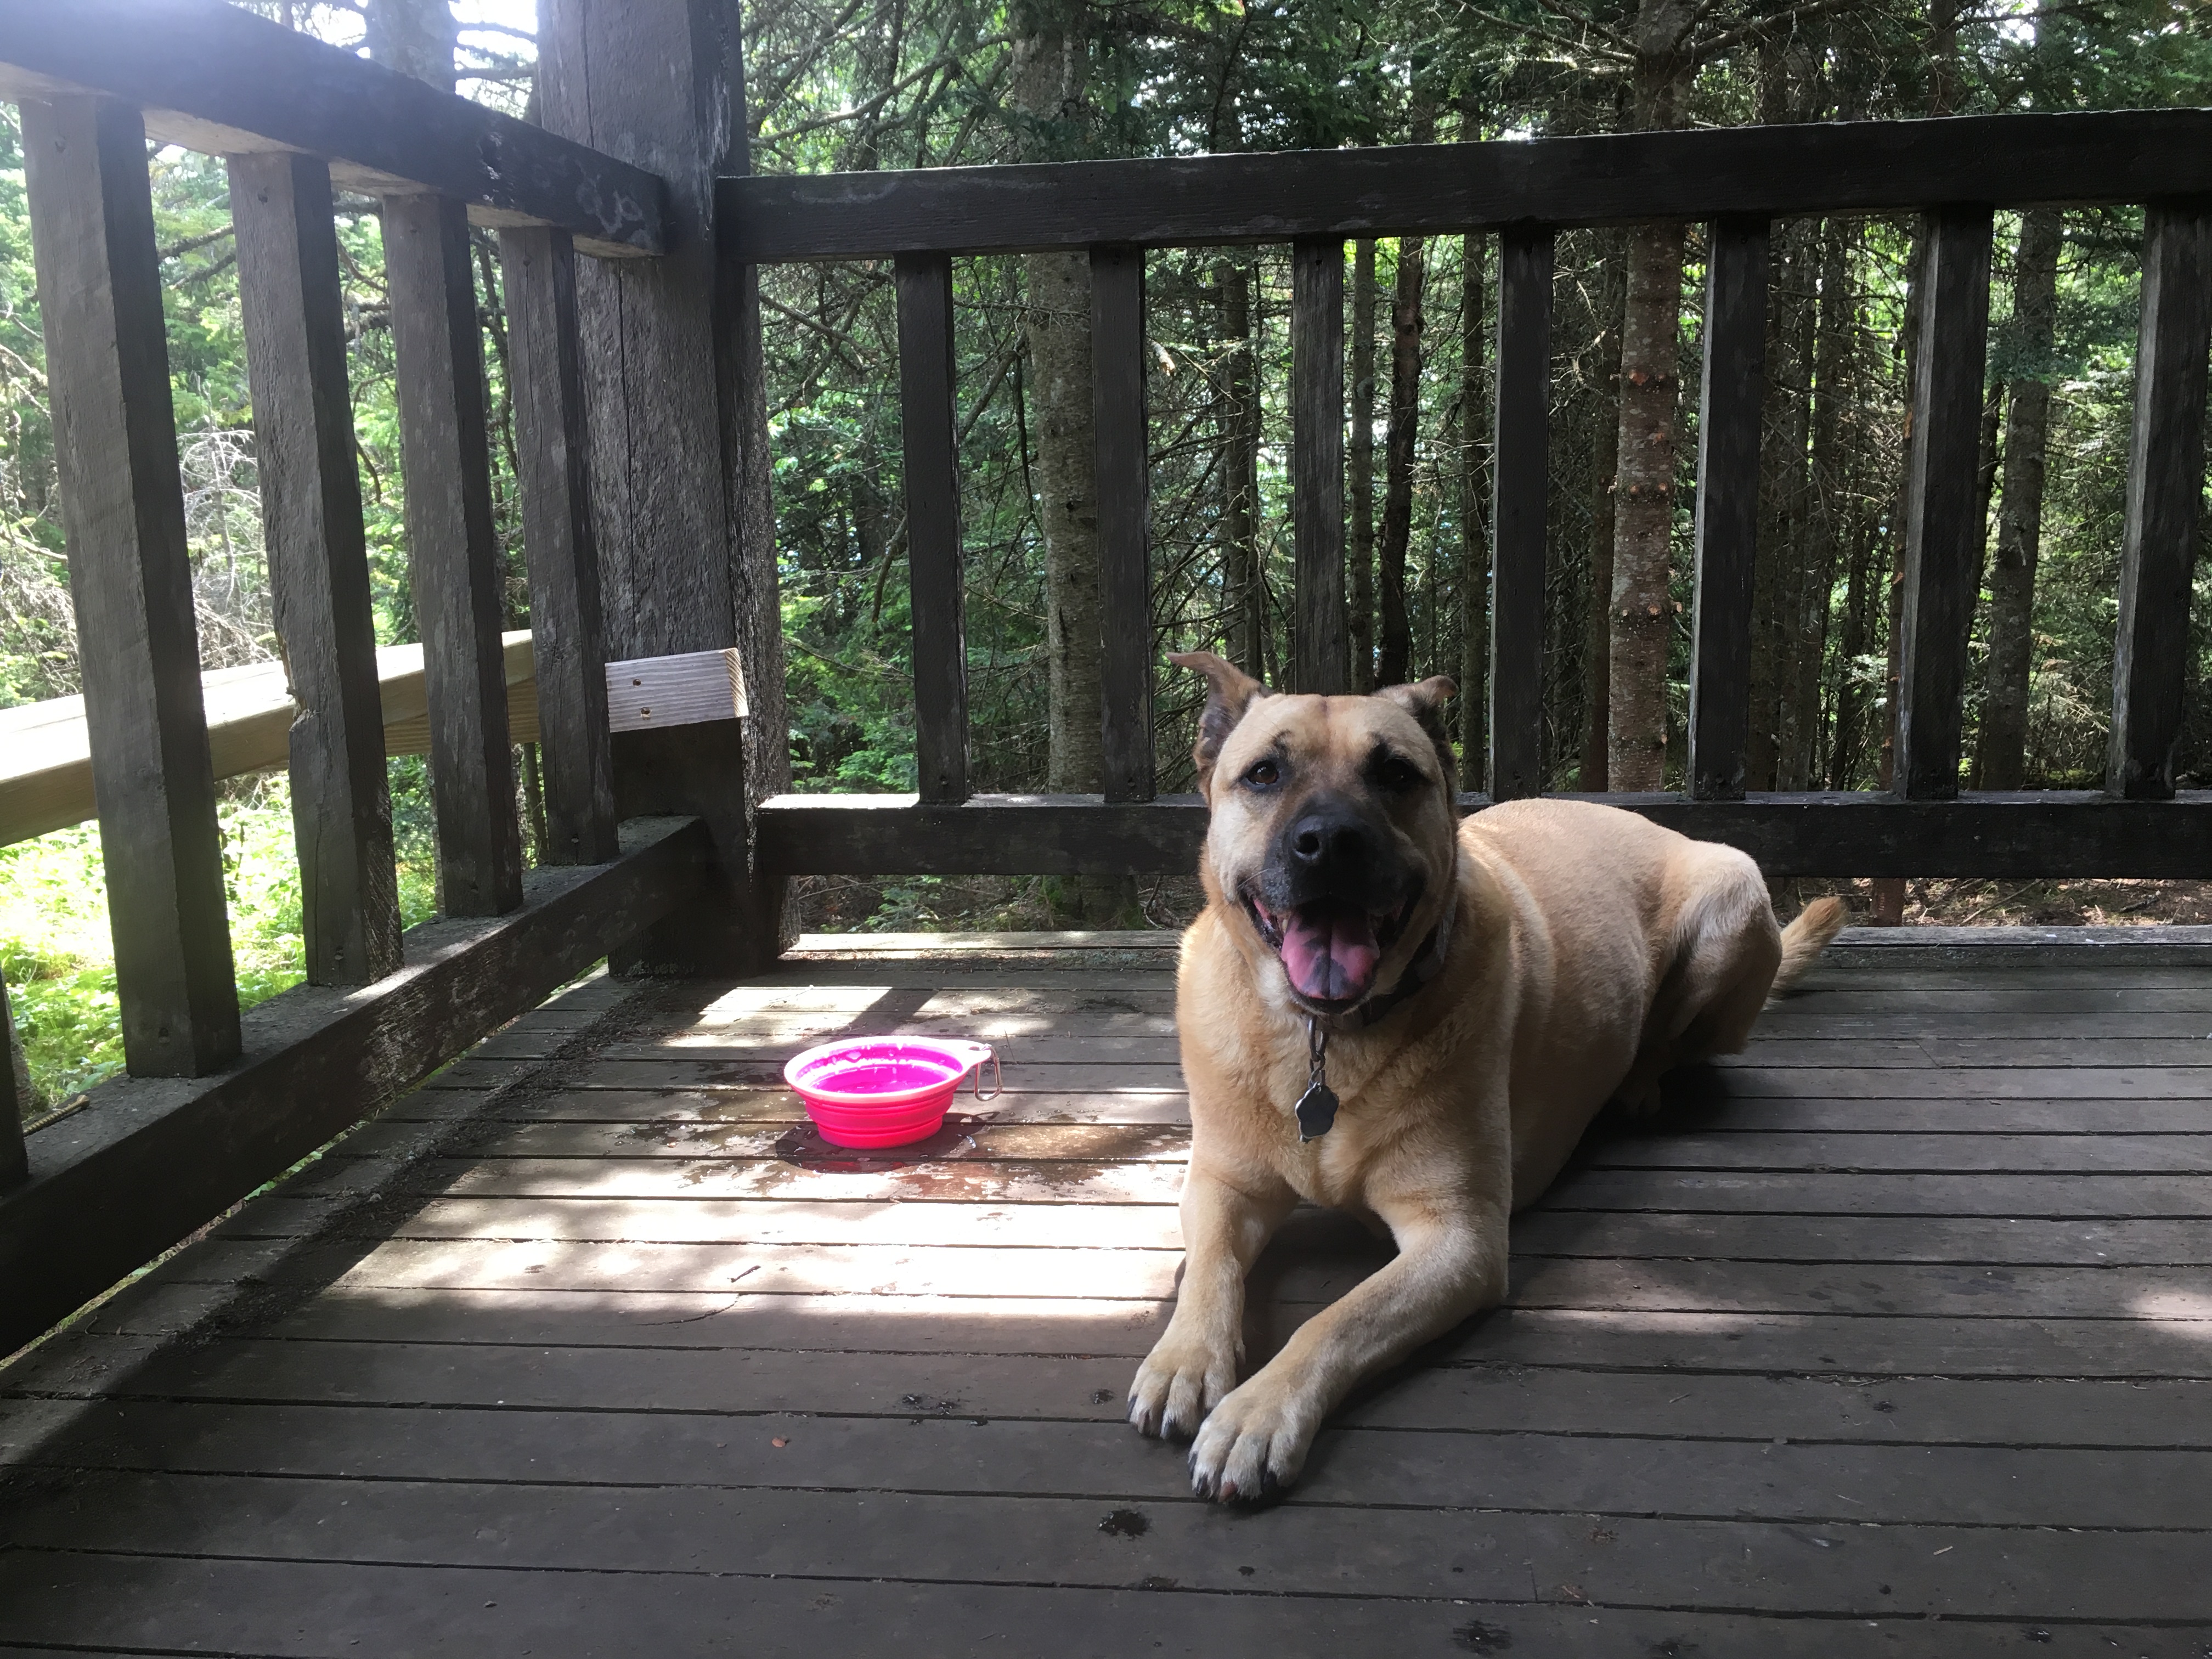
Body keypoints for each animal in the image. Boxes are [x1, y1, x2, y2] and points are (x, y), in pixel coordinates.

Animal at [1124, 654, 1849, 1513]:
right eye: (1264, 773)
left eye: (1396, 774)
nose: (1329, 842)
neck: (1324, 1041)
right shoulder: (1221, 1185)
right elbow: (1210, 1270)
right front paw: (1185, 1360)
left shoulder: (1460, 1241)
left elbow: (1336, 1319)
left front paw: (1258, 1414)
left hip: (1732, 901)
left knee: (1672, 1042)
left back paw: (1637, 1085)